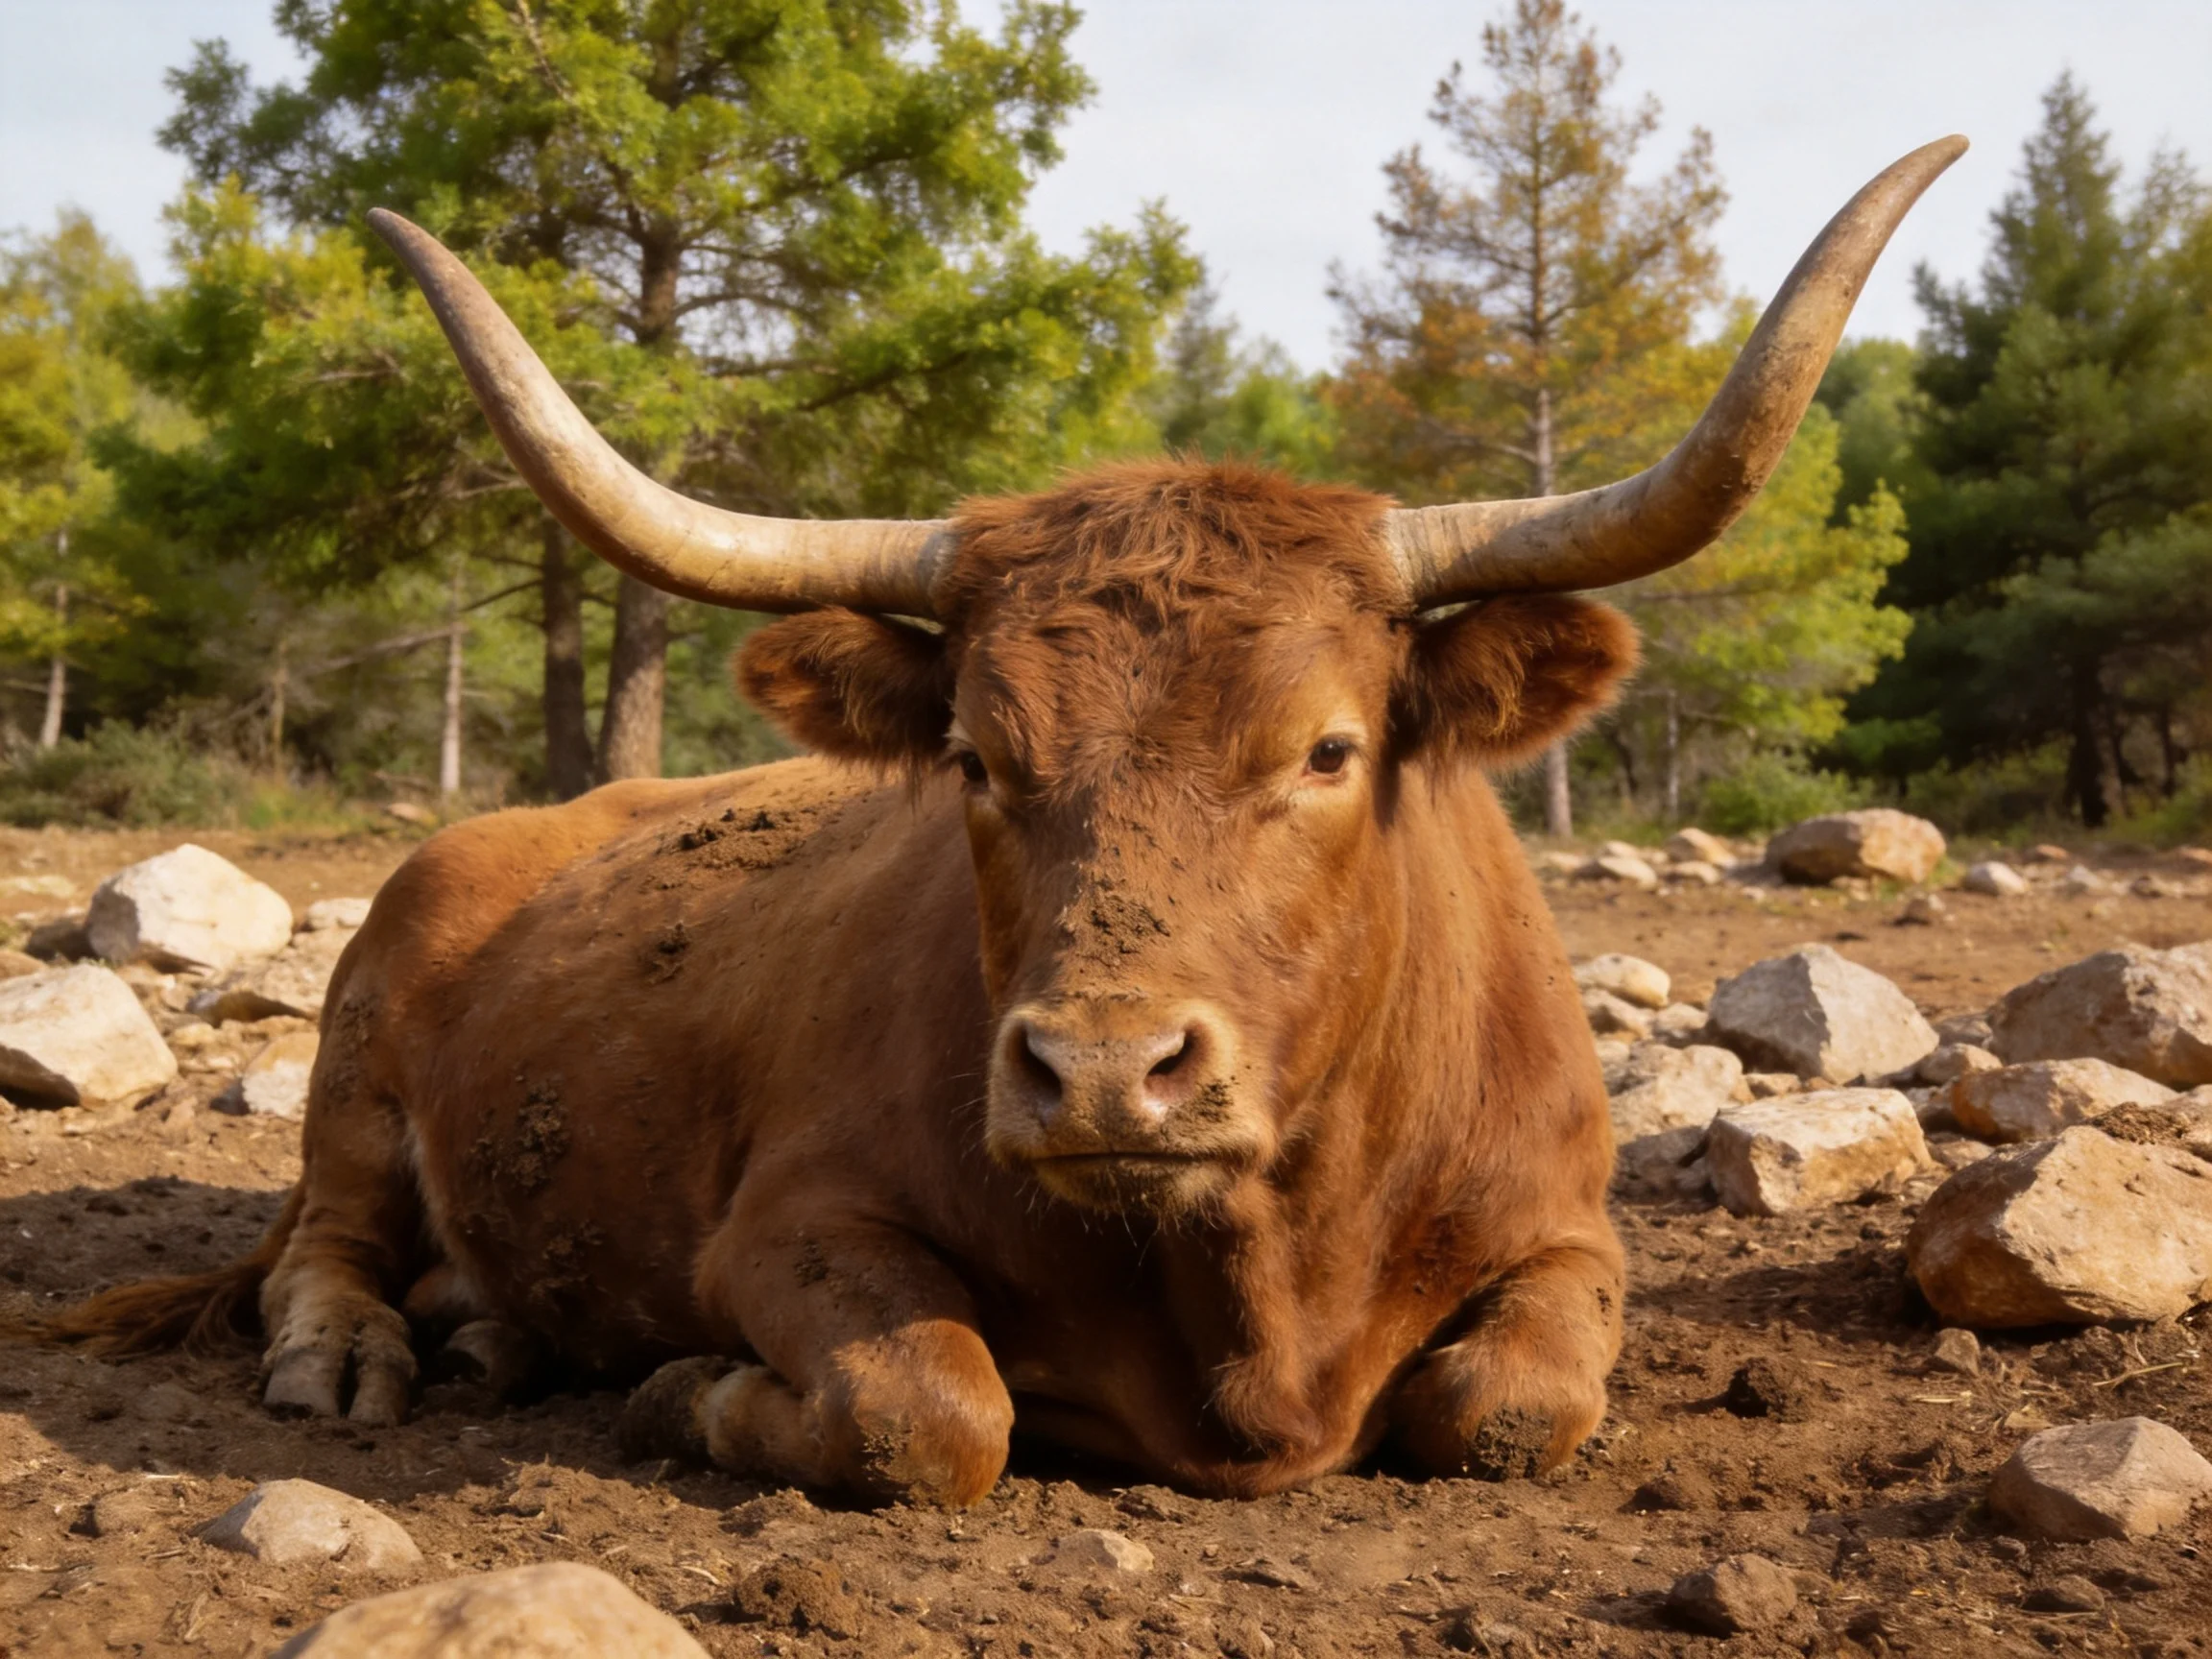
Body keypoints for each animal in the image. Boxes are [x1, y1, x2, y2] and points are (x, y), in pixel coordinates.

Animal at [55, 139, 1964, 1504]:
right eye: (973, 752)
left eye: (1329, 749)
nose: (1106, 1072)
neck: (1252, 1292)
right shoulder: (788, 1223)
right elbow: (930, 1410)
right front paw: (685, 1389)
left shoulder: (1570, 1231)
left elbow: (1506, 1403)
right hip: (359, 1068)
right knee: (327, 1241)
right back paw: (363, 1357)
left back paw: (488, 1343)